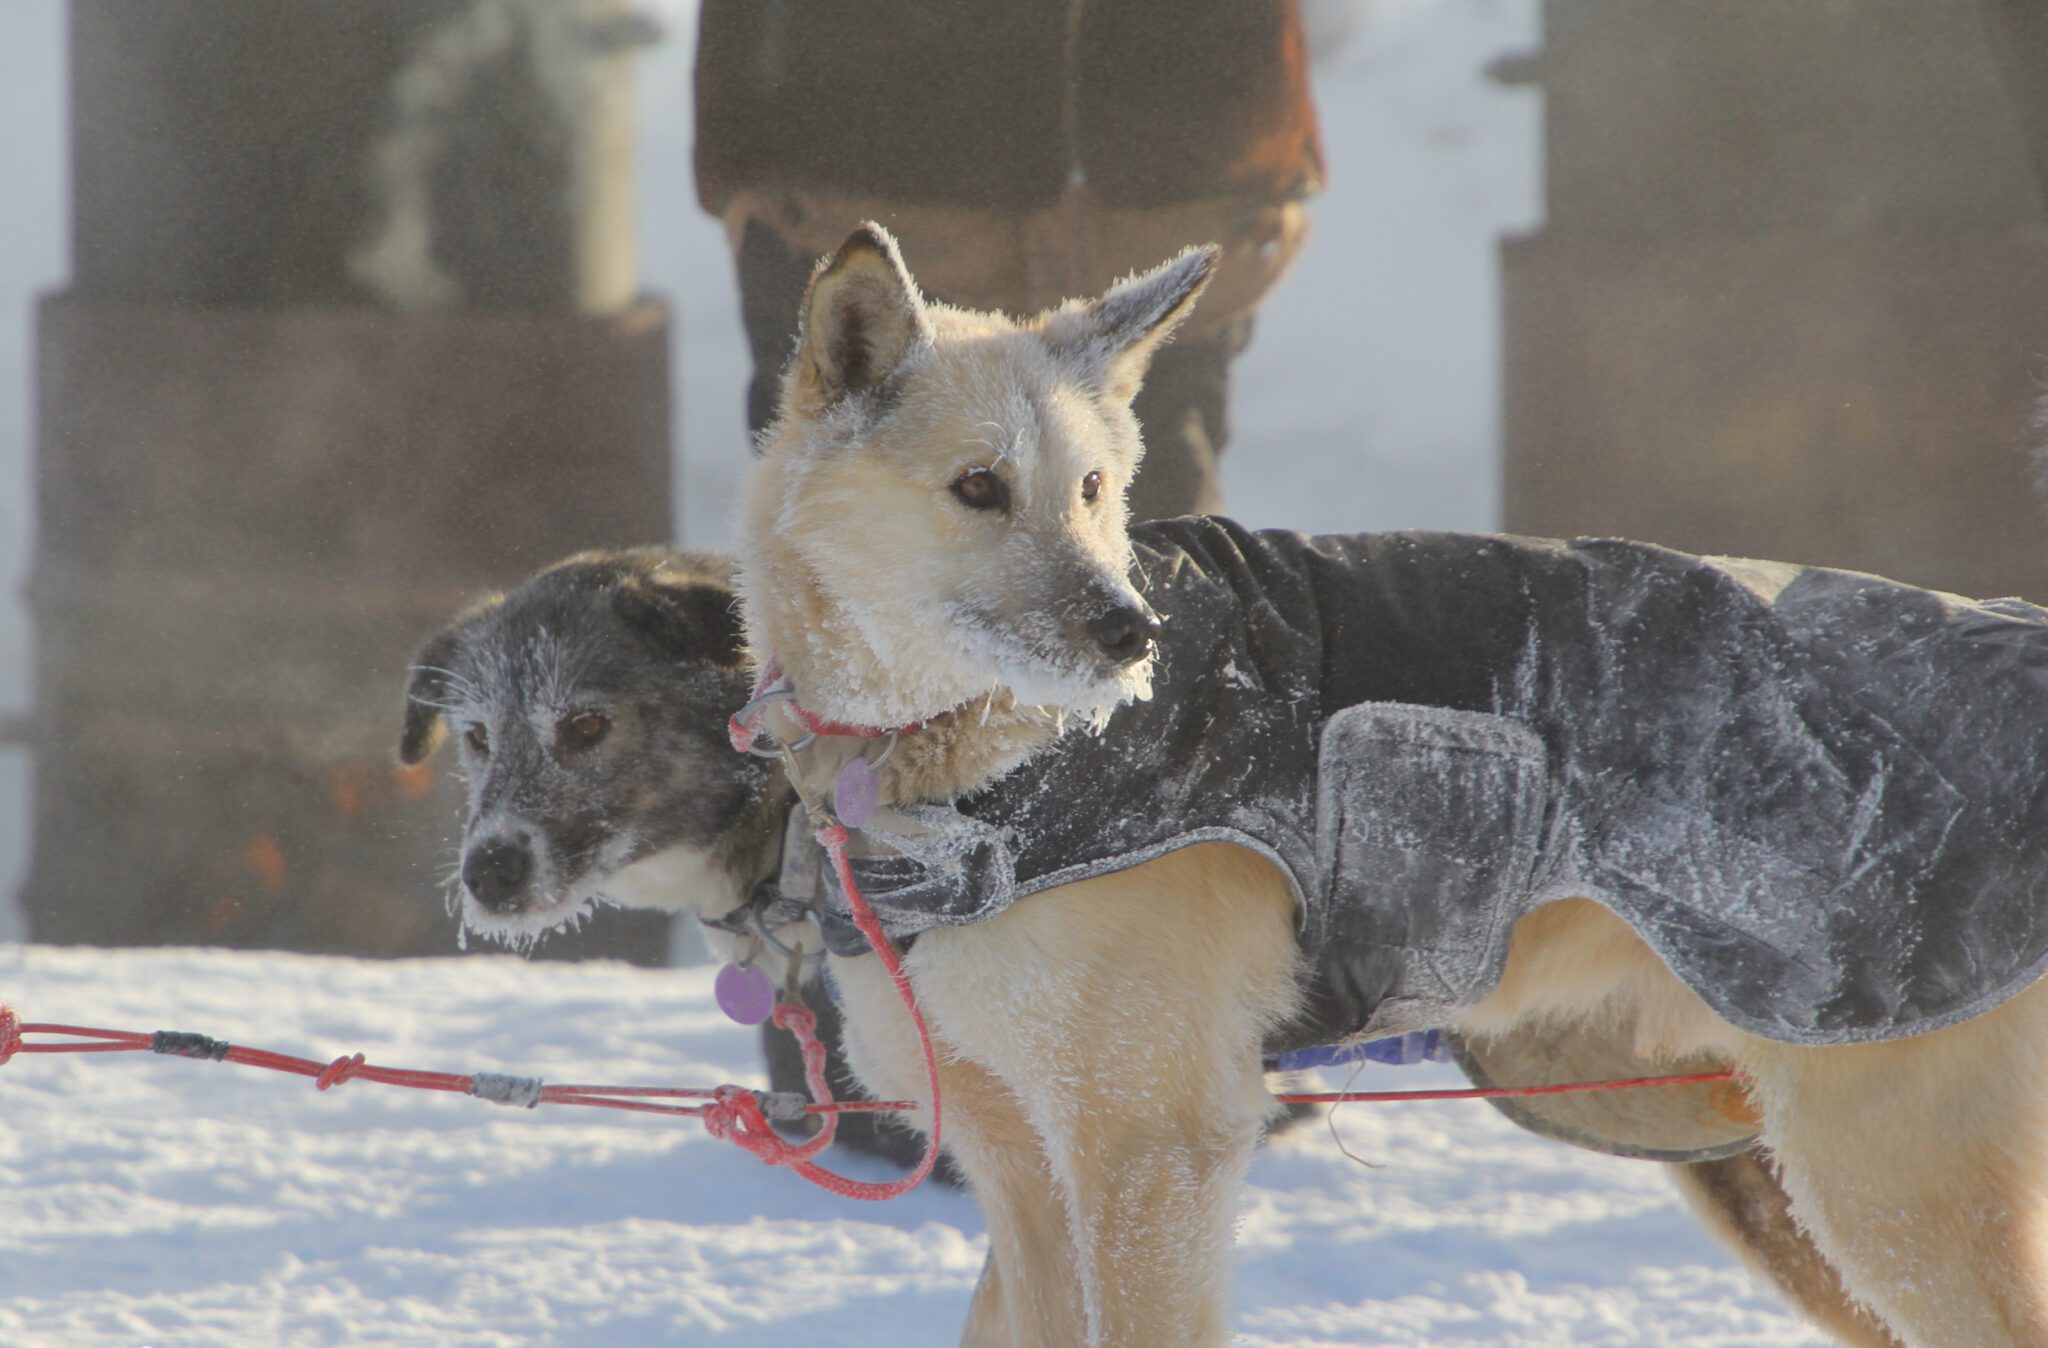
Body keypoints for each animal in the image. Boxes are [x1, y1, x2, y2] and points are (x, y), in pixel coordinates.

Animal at [737, 225, 2048, 1335]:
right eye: (977, 486)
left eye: (1091, 491)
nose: (1128, 633)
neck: (980, 761)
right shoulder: (1018, 1164)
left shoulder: (1150, 1152)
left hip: (1885, 1194)